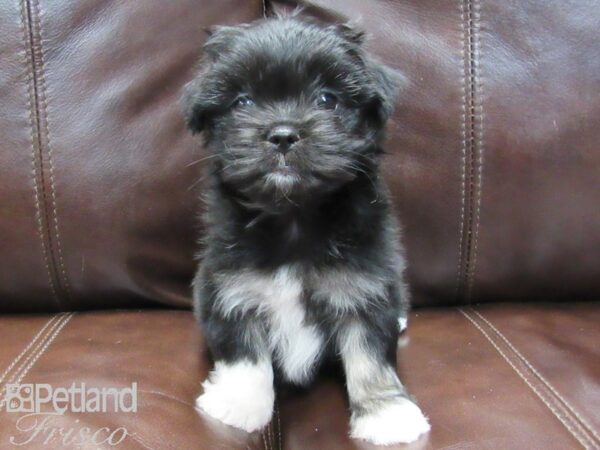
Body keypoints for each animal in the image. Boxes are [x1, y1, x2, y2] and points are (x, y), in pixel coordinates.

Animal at [180, 15, 428, 444]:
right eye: (242, 102)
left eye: (327, 100)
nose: (282, 133)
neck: (293, 215)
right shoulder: (230, 289)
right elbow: (244, 352)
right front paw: (240, 404)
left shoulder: (363, 288)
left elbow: (370, 357)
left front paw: (385, 411)